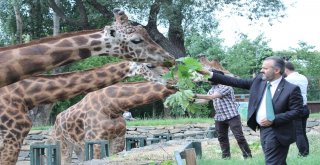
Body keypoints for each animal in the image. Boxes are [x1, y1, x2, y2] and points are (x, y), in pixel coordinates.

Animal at [0, 61, 169, 165]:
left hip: (78, 145)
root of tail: (54, 124)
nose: (170, 77)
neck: (113, 106)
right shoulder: (96, 138)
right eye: (150, 65)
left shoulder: (118, 138)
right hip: (63, 143)